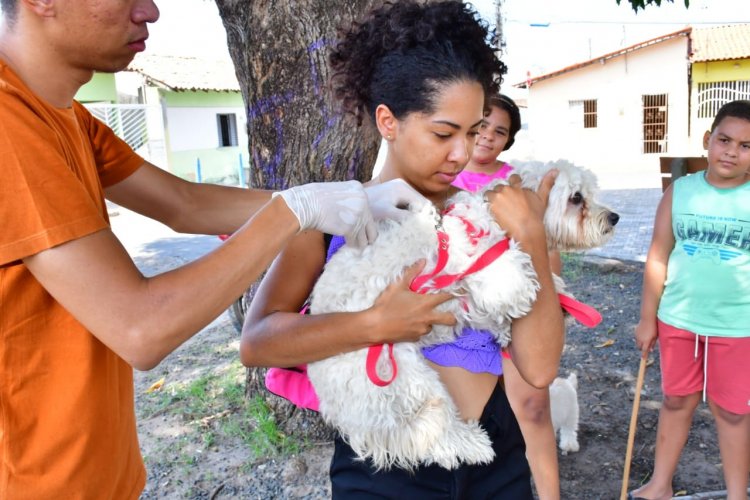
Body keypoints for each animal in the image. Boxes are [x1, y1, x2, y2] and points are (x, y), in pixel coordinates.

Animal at [306, 162, 616, 470]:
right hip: (401, 375)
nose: (614, 217)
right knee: (435, 430)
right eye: (576, 198)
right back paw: (474, 446)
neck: (491, 220)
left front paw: (560, 302)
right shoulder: (489, 275)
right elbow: (518, 284)